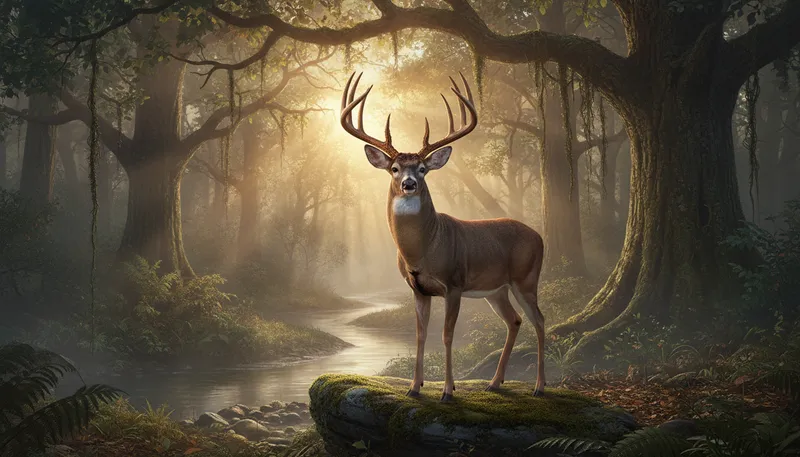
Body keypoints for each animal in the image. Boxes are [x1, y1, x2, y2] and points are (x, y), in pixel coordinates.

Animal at [340, 72, 546, 402]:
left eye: (423, 168)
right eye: (394, 168)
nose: (409, 184)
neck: (423, 250)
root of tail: (539, 236)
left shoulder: (454, 284)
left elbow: (447, 335)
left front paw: (448, 391)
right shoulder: (418, 289)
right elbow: (421, 334)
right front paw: (414, 387)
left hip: (526, 278)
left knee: (539, 320)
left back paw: (539, 386)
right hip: (496, 290)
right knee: (514, 320)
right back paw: (494, 382)